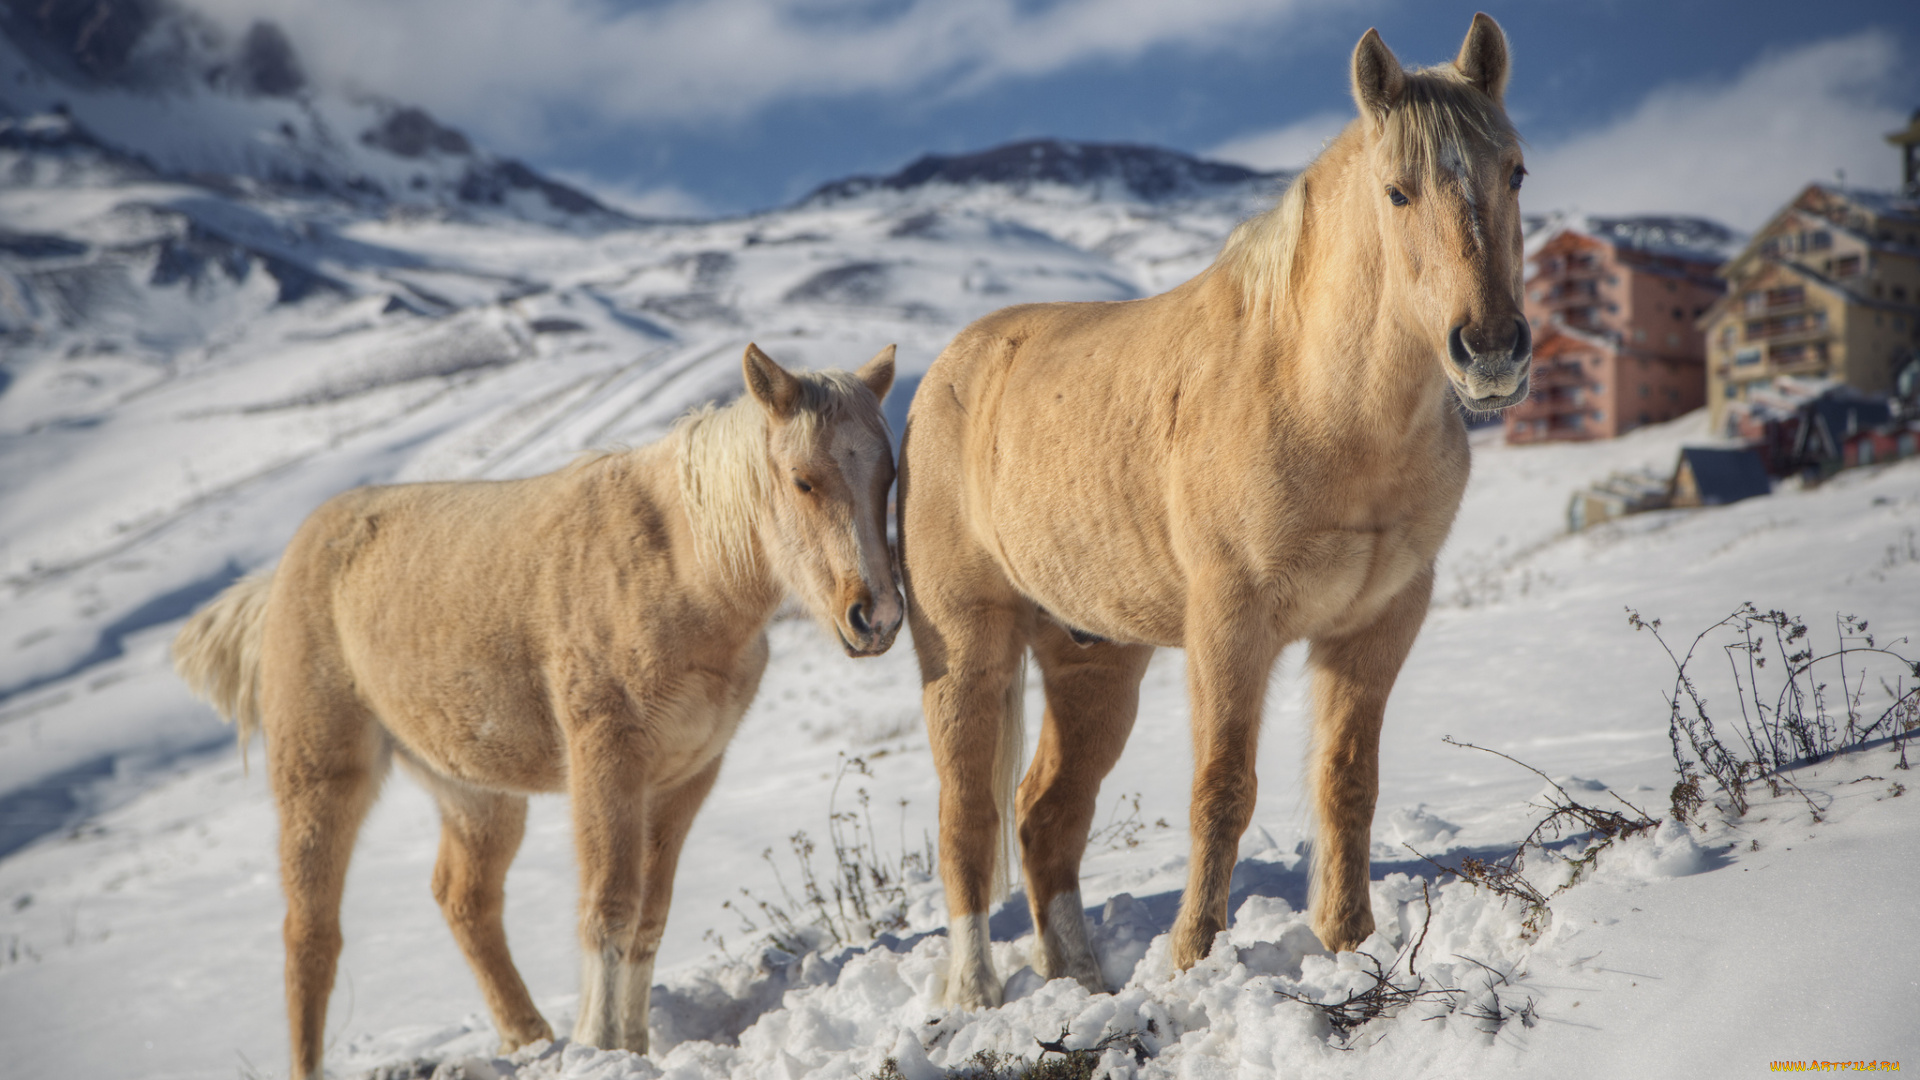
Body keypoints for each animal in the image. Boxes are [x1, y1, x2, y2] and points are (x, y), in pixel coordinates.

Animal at [174, 342, 906, 1068]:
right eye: (803, 481)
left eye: (889, 476)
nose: (876, 618)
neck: (679, 571)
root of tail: (283, 573)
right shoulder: (606, 765)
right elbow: (610, 907)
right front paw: (601, 1043)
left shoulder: (685, 779)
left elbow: (650, 916)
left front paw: (632, 1045)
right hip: (321, 779)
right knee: (311, 934)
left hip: (475, 794)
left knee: (464, 901)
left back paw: (527, 1035)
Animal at [898, 16, 1528, 1006]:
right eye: (1397, 190)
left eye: (1515, 173)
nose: (1493, 350)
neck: (1321, 401)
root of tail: (945, 376)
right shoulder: (1232, 624)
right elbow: (1222, 789)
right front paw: (1195, 957)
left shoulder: (1378, 623)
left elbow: (1348, 780)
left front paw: (1349, 942)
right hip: (967, 652)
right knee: (968, 819)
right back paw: (974, 993)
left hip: (1093, 662)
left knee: (1045, 816)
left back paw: (1083, 981)